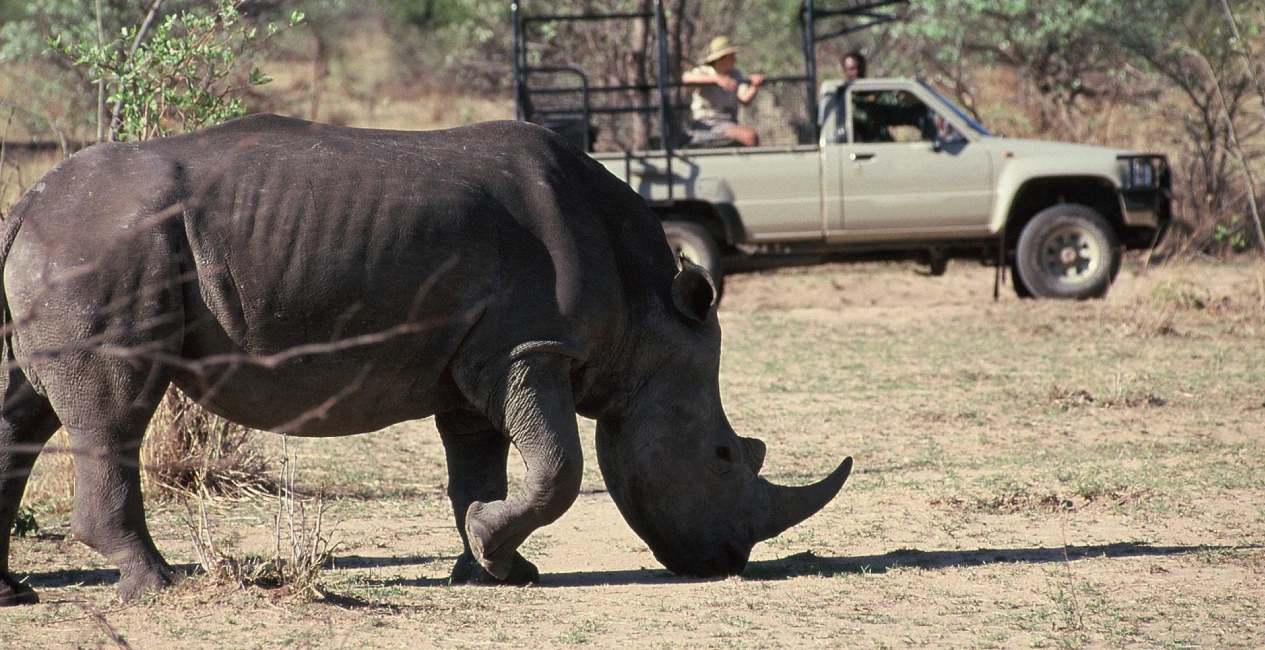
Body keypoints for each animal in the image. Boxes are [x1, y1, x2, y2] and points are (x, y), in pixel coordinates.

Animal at [0, 115, 852, 604]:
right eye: (722, 455)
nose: (729, 559)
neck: (647, 314)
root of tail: (28, 202)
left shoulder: (482, 364)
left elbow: (482, 467)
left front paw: (491, 567)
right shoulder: (530, 349)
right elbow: (559, 468)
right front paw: (490, 548)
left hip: (78, 243)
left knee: (25, 412)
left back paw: (16, 595)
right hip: (107, 242)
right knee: (116, 409)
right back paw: (157, 588)